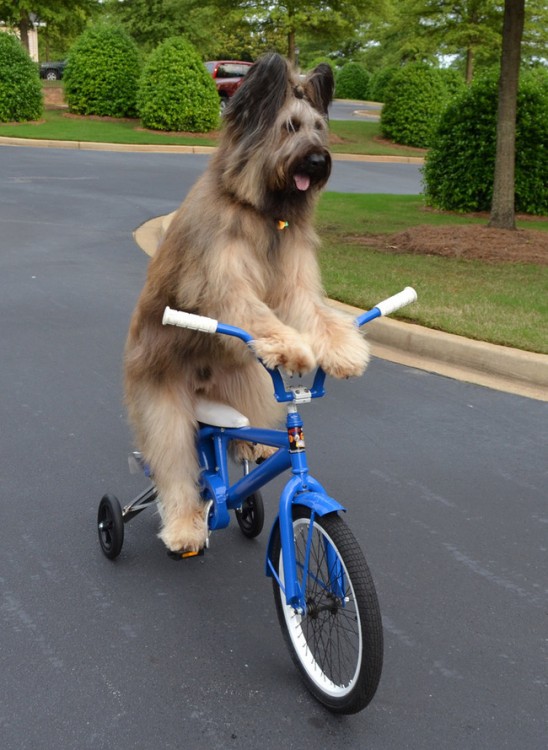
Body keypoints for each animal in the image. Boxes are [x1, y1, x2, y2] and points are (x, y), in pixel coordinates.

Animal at [125, 53, 368, 556]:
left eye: (319, 128)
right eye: (289, 126)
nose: (318, 160)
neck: (263, 211)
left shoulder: (294, 281)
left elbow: (315, 312)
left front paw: (343, 350)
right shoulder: (222, 281)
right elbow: (252, 312)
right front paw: (293, 348)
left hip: (247, 382)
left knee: (239, 429)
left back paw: (250, 446)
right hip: (164, 405)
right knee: (176, 468)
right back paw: (184, 526)